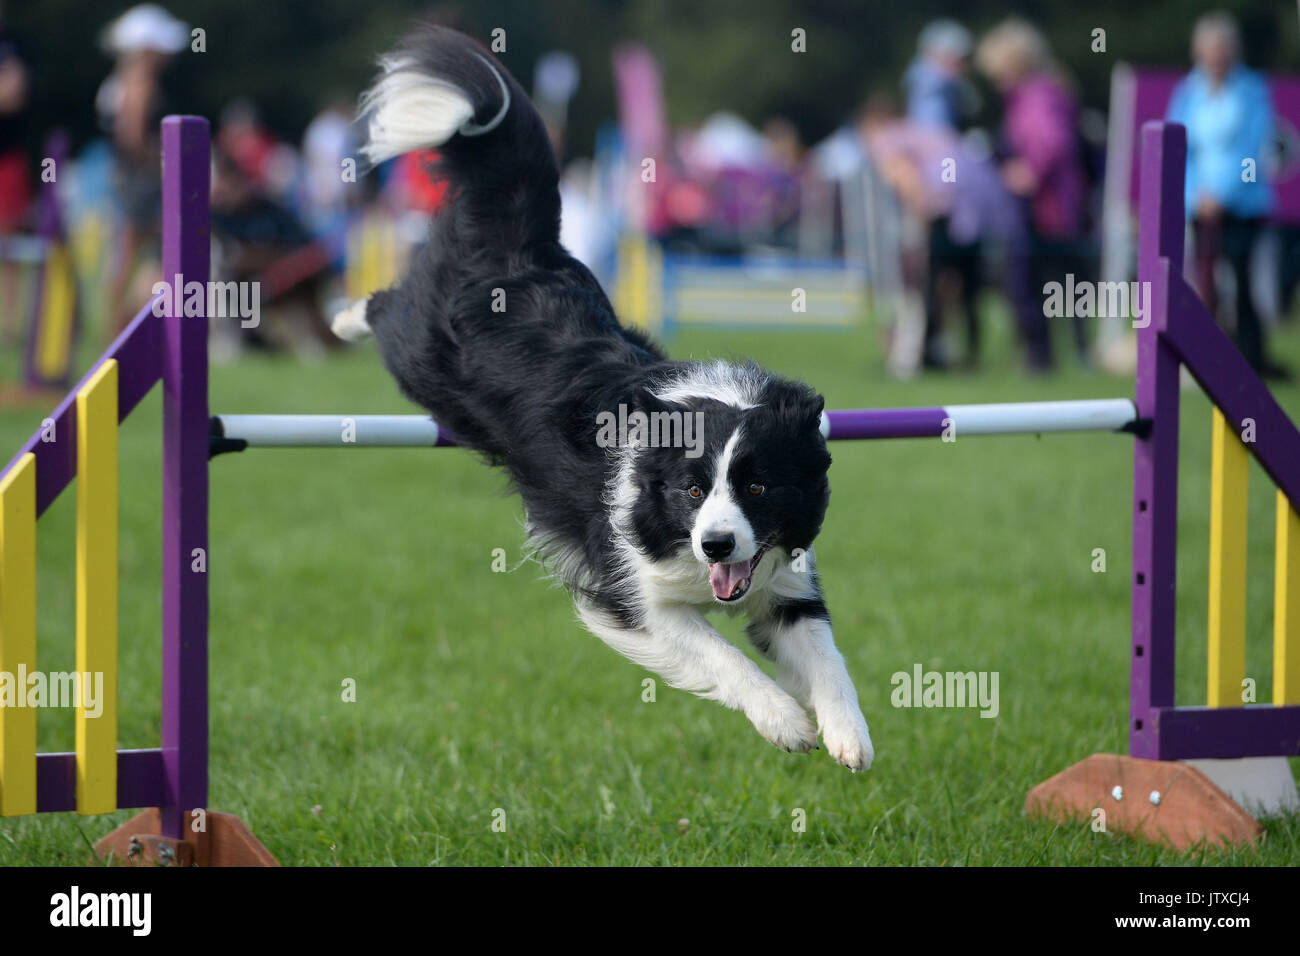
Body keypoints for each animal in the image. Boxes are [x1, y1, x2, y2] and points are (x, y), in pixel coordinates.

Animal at [338, 27, 873, 770]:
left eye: (759, 488)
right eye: (690, 490)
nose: (716, 544)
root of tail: (520, 250)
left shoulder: (784, 583)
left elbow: (826, 654)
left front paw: (850, 735)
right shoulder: (628, 593)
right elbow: (722, 656)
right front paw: (784, 721)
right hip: (420, 355)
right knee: (388, 306)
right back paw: (341, 319)